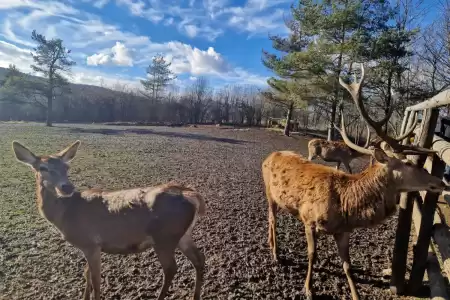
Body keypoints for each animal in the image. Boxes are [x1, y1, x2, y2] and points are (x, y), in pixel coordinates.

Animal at [12, 141, 206, 300]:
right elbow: (87, 274)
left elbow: (96, 280)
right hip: (183, 235)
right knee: (199, 259)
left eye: (67, 167)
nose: (67, 187)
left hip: (164, 236)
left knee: (171, 268)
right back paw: (195, 296)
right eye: (42, 168)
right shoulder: (90, 246)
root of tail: (192, 196)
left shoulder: (90, 243)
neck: (65, 214)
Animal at [262, 63, 444, 300]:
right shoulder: (309, 220)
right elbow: (312, 254)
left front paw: (355, 294)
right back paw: (275, 253)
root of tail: (269, 156)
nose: (441, 182)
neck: (345, 205)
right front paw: (308, 288)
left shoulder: (344, 231)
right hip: (269, 193)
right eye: (409, 163)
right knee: (272, 219)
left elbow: (347, 265)